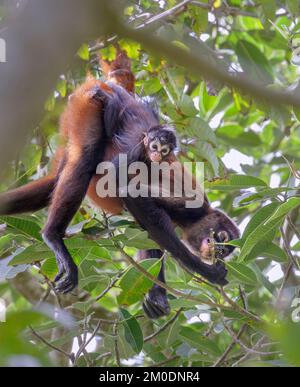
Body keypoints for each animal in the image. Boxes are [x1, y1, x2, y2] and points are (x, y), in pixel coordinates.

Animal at [0, 50, 239, 318]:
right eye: (221, 238)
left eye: (224, 250)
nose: (217, 251)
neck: (198, 216)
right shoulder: (191, 201)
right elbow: (133, 195)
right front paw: (209, 272)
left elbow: (148, 235)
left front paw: (156, 296)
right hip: (87, 106)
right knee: (86, 157)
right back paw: (53, 236)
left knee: (53, 183)